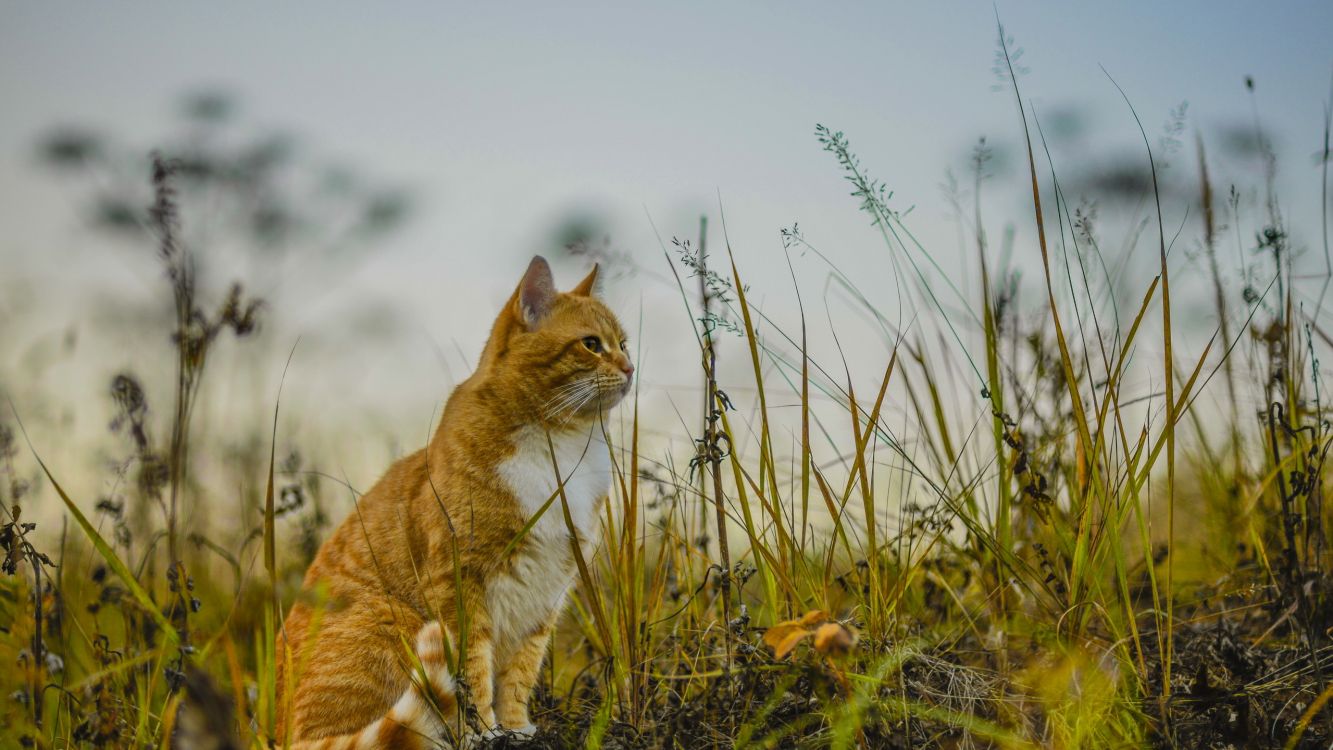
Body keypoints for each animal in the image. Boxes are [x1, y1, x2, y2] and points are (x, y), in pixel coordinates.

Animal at [274, 255, 629, 746]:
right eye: (592, 345)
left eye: (624, 343)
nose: (631, 368)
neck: (561, 447)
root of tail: (276, 732)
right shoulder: (460, 579)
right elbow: (474, 668)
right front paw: (484, 733)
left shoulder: (546, 591)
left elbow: (520, 671)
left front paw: (515, 728)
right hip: (390, 618)